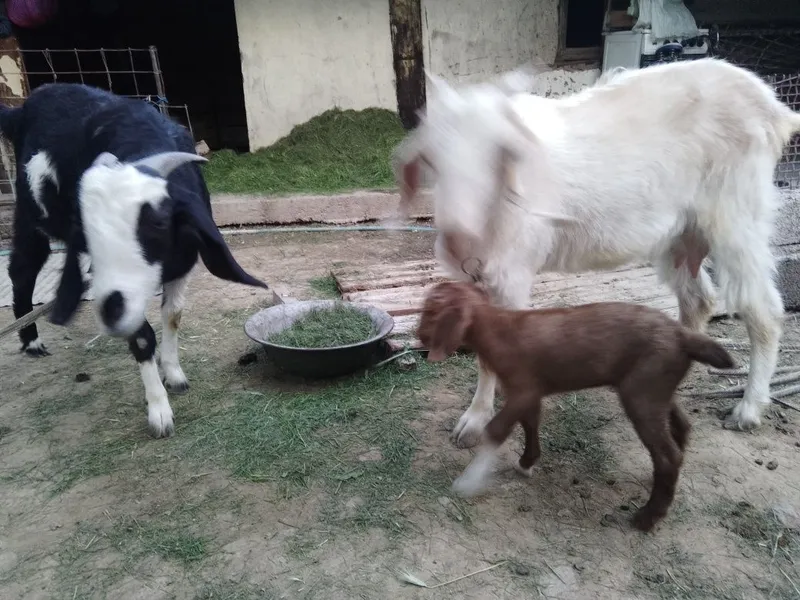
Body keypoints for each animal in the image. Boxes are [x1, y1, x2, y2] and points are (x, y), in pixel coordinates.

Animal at [1, 83, 267, 438]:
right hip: (30, 213)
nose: (110, 312)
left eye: (157, 222)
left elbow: (173, 315)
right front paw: (159, 410)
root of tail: (20, 110)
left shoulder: (182, 261)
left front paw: (174, 374)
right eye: (84, 229)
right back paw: (31, 341)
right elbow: (142, 335)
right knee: (23, 267)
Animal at [394, 58, 800, 444]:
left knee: (763, 310)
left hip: (736, 214)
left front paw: (479, 422)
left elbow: (493, 356)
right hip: (681, 233)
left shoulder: (512, 274)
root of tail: (775, 108)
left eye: (499, 153)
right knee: (698, 299)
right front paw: (475, 417)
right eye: (430, 160)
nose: (456, 240)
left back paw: (749, 408)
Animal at [417, 281, 735, 531]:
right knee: (681, 425)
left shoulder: (522, 390)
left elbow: (496, 430)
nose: (419, 337)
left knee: (668, 455)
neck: (499, 328)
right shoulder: (530, 392)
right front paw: (527, 463)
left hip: (642, 392)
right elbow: (530, 423)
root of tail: (684, 336)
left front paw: (469, 481)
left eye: (430, 312)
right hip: (654, 386)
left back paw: (647, 518)